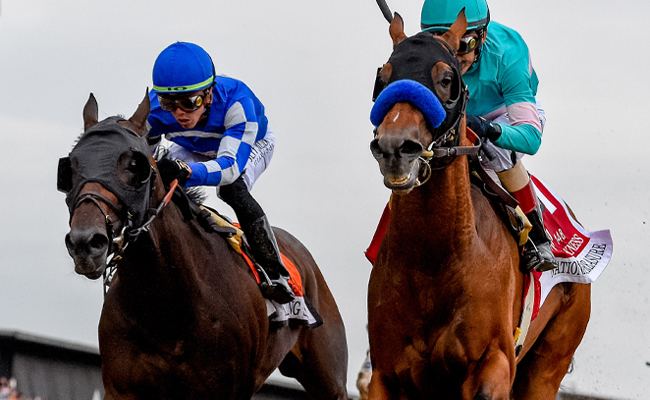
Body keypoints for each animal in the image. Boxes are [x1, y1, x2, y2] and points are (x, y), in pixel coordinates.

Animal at [60, 92, 349, 399]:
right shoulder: (121, 388)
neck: (167, 303)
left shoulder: (228, 388)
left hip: (329, 380)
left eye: (134, 166)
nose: (85, 242)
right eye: (71, 168)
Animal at [366, 12, 591, 400]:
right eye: (384, 78)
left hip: (547, 366)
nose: (395, 147)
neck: (434, 260)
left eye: (446, 80)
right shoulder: (386, 373)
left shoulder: (495, 362)